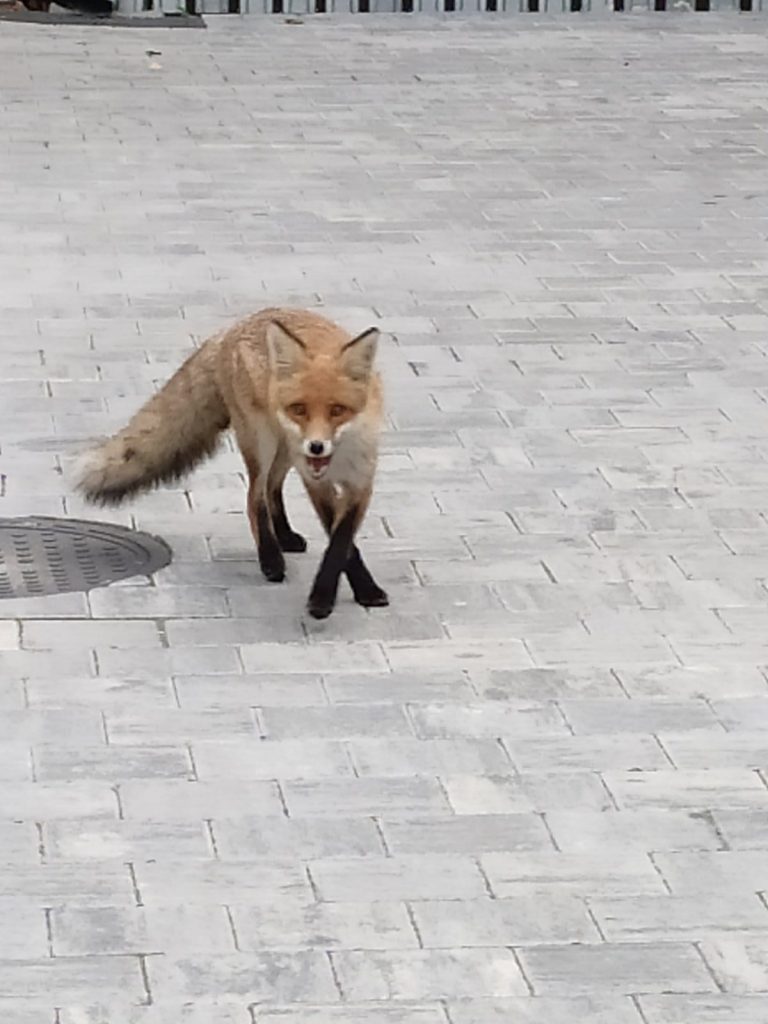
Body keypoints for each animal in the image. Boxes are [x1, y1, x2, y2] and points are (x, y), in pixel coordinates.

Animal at [74, 308, 389, 620]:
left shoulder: (361, 484)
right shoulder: (316, 482)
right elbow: (342, 545)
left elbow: (341, 541)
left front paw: (362, 590)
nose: (316, 446)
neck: (341, 457)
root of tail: (231, 328)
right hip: (263, 442)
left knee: (271, 487)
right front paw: (325, 599)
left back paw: (285, 537)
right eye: (299, 409)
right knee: (255, 497)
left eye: (337, 410)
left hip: (284, 449)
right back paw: (271, 559)